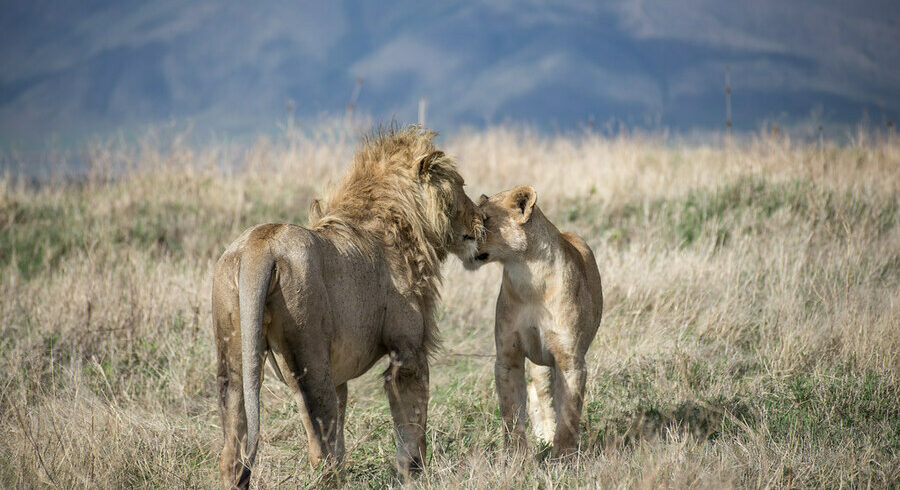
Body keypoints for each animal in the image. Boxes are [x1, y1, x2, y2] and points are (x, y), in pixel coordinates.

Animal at [214, 127, 486, 490]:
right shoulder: (407, 352)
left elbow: (344, 431)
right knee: (321, 450)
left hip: (233, 355)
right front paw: (414, 473)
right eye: (462, 188)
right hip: (309, 358)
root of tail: (262, 244)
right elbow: (412, 419)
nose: (482, 218)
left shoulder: (339, 372)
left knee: (234, 450)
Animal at [464, 186, 604, 458]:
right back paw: (545, 437)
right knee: (540, 394)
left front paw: (564, 456)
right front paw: (515, 456)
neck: (527, 278)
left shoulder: (570, 360)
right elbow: (510, 412)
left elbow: (569, 411)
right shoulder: (508, 359)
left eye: (485, 219)